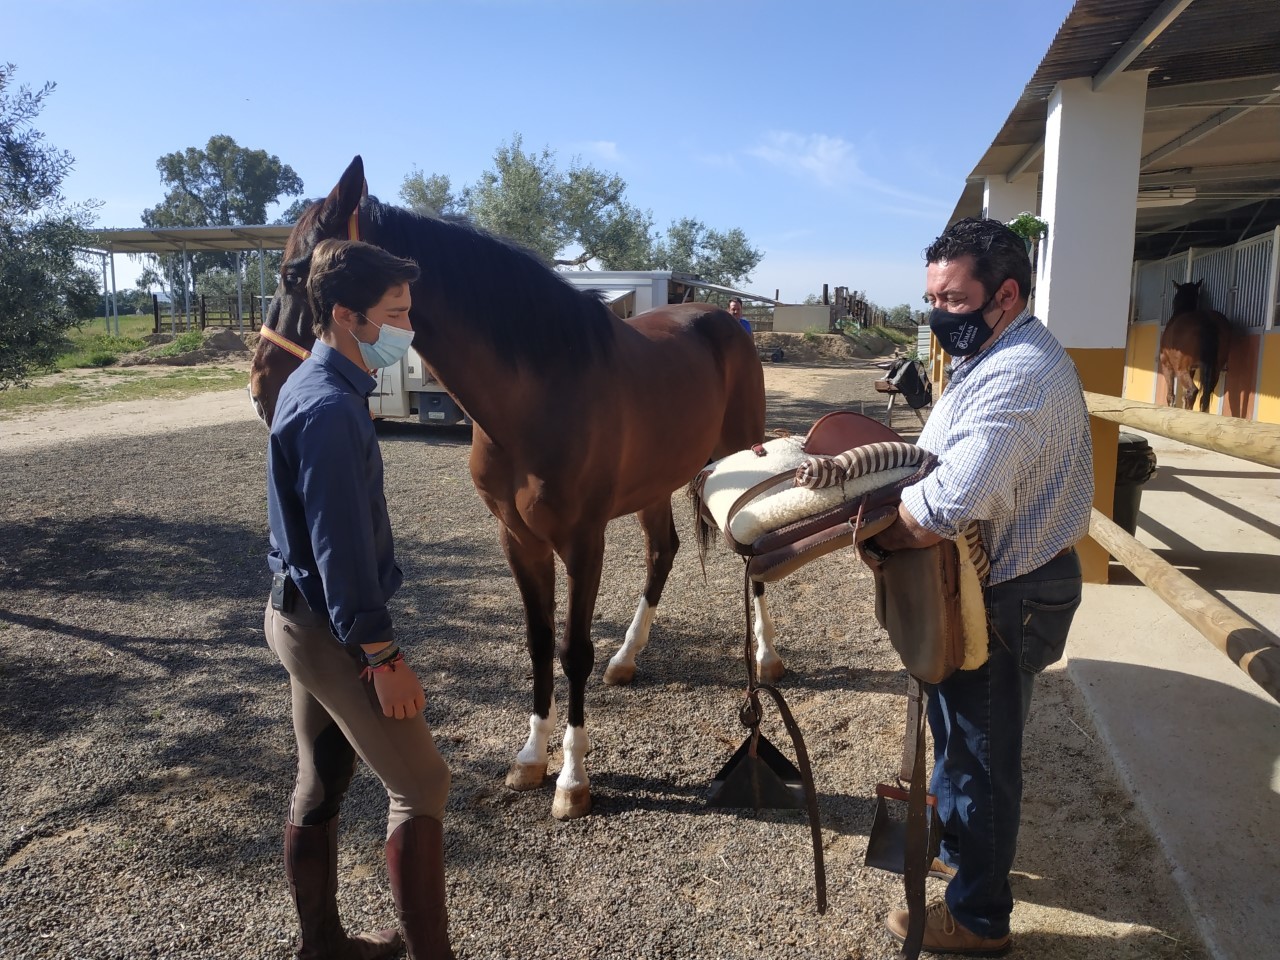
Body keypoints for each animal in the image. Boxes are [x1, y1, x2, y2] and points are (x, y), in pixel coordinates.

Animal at [245, 158, 773, 819]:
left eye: (293, 273)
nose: (261, 387)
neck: (539, 392)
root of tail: (724, 319)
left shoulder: (583, 541)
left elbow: (573, 650)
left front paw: (572, 780)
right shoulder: (518, 539)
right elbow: (539, 643)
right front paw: (530, 759)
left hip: (743, 456)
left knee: (753, 555)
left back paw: (765, 657)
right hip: (655, 484)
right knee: (663, 551)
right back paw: (627, 657)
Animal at [1162, 277, 1228, 414]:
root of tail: (1206, 319)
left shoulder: (1167, 366)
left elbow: (1171, 395)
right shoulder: (1192, 369)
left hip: (1181, 369)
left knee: (1193, 391)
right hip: (1215, 370)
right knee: (1204, 396)